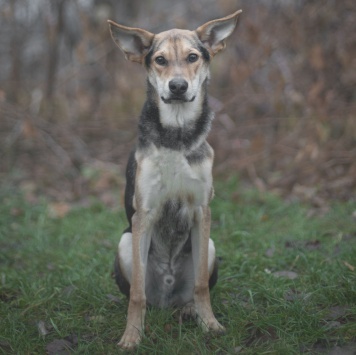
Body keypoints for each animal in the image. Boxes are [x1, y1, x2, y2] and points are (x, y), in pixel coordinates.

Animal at [108, 9, 242, 350]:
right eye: (160, 60)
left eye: (193, 57)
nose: (178, 86)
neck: (177, 136)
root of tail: (167, 298)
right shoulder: (144, 214)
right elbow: (137, 294)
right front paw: (132, 336)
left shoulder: (201, 211)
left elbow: (201, 286)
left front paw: (210, 324)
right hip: (125, 241)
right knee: (141, 294)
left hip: (209, 244)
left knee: (190, 291)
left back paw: (188, 311)